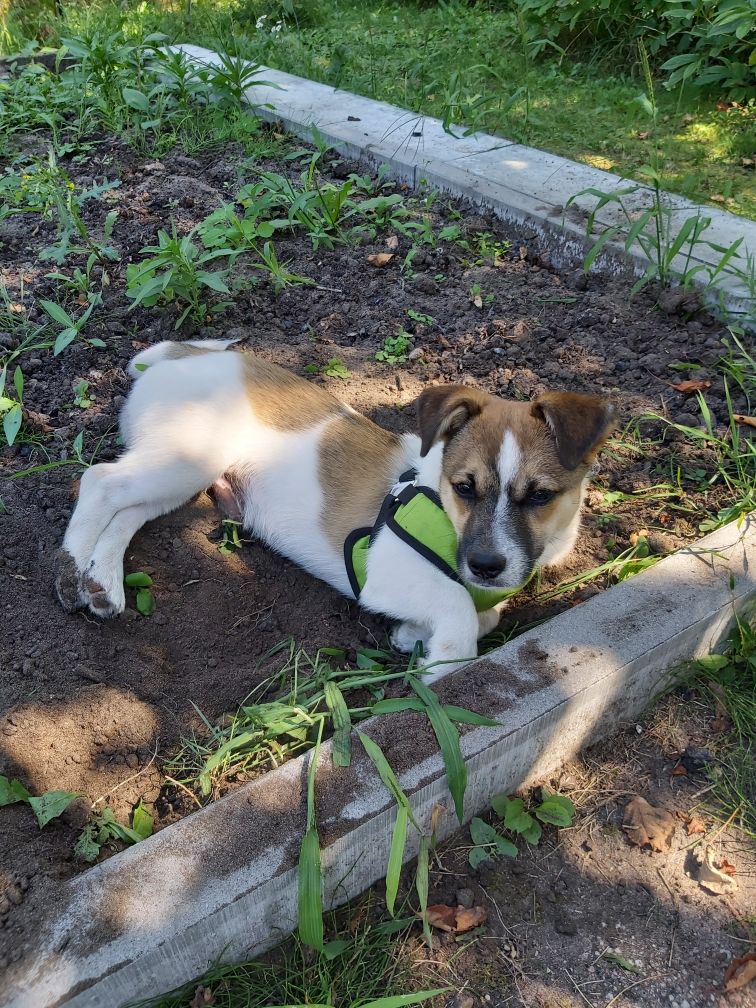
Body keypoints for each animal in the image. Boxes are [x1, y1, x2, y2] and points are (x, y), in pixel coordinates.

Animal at [55, 340, 615, 681]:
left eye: (540, 496)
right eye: (465, 487)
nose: (486, 566)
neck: (435, 497)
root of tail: (183, 354)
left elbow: (486, 614)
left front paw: (414, 634)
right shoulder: (385, 569)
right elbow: (458, 607)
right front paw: (443, 670)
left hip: (181, 473)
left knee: (125, 511)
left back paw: (101, 582)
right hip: (187, 458)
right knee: (99, 481)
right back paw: (70, 569)